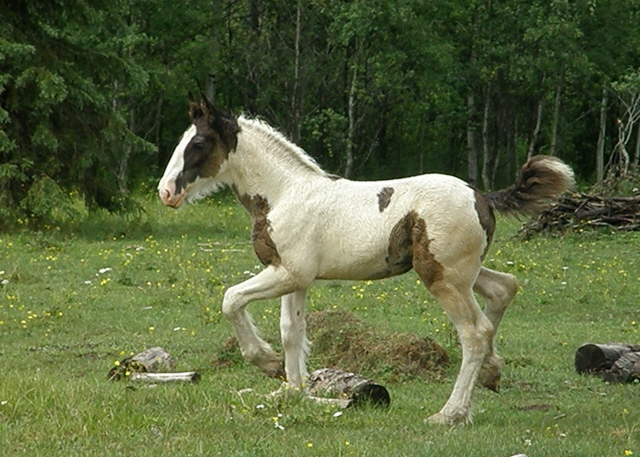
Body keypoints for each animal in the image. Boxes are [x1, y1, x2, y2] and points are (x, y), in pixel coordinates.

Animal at [159, 96, 576, 424]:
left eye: (199, 142)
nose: (165, 192)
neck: (284, 194)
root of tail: (483, 198)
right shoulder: (294, 277)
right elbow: (291, 331)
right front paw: (291, 390)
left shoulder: (287, 273)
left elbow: (231, 300)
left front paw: (266, 362)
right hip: (462, 272)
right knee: (504, 288)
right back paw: (490, 374)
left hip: (443, 277)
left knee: (475, 333)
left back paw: (450, 414)